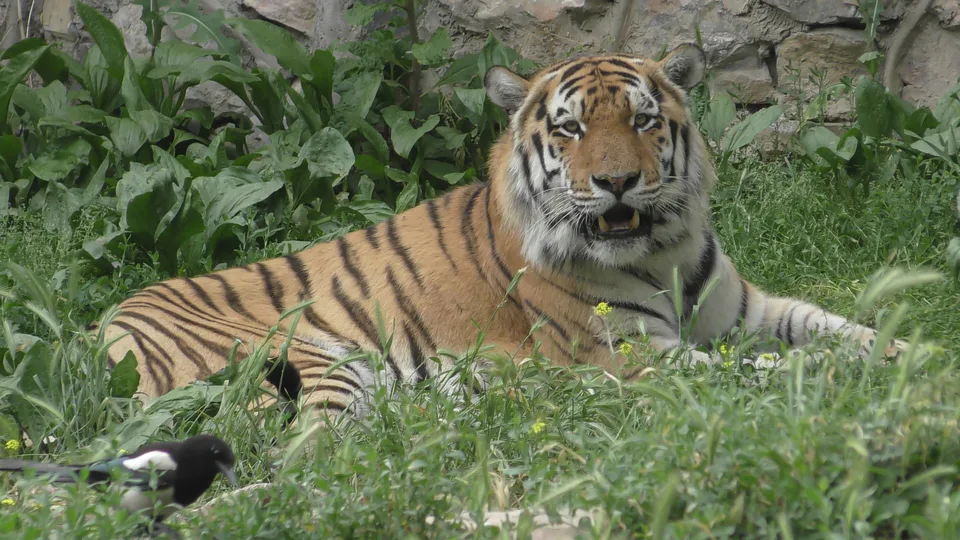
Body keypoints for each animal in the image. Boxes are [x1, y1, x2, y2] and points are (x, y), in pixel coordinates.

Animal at [99, 43, 906, 419]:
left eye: (643, 119)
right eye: (571, 128)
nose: (617, 182)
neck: (662, 249)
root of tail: (103, 324)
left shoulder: (748, 310)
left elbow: (837, 327)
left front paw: (908, 354)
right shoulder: (628, 355)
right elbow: (757, 369)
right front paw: (839, 380)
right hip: (311, 362)